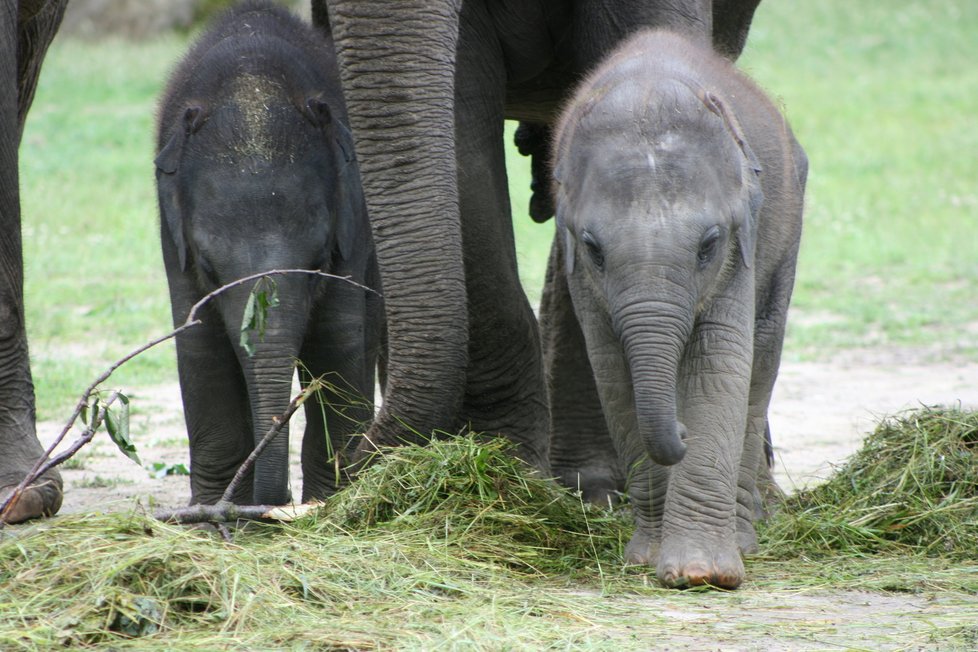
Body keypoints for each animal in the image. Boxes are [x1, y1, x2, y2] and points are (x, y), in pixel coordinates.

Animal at [154, 0, 380, 506]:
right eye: (210, 268)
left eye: (317, 264)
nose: (273, 502)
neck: (250, 72)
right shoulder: (170, 234)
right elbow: (201, 346)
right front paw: (213, 513)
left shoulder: (353, 221)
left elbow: (338, 338)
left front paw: (326, 503)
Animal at [540, 30, 808, 588]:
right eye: (594, 248)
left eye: (708, 245)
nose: (680, 430)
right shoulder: (581, 268)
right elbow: (614, 375)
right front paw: (647, 559)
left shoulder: (743, 238)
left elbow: (717, 366)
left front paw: (702, 574)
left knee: (759, 368)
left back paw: (744, 538)